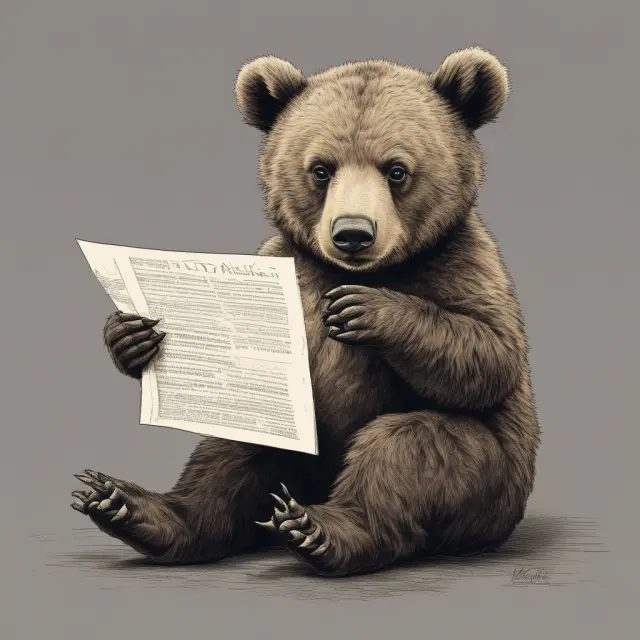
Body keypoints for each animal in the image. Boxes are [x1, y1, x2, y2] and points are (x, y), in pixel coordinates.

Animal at [70, 46, 540, 578]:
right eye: (321, 169)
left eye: (396, 170)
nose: (353, 232)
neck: (366, 270)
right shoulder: (287, 263)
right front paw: (132, 335)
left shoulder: (464, 263)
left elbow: (489, 353)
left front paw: (363, 310)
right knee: (229, 453)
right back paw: (131, 507)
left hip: (489, 475)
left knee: (410, 449)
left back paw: (318, 529)